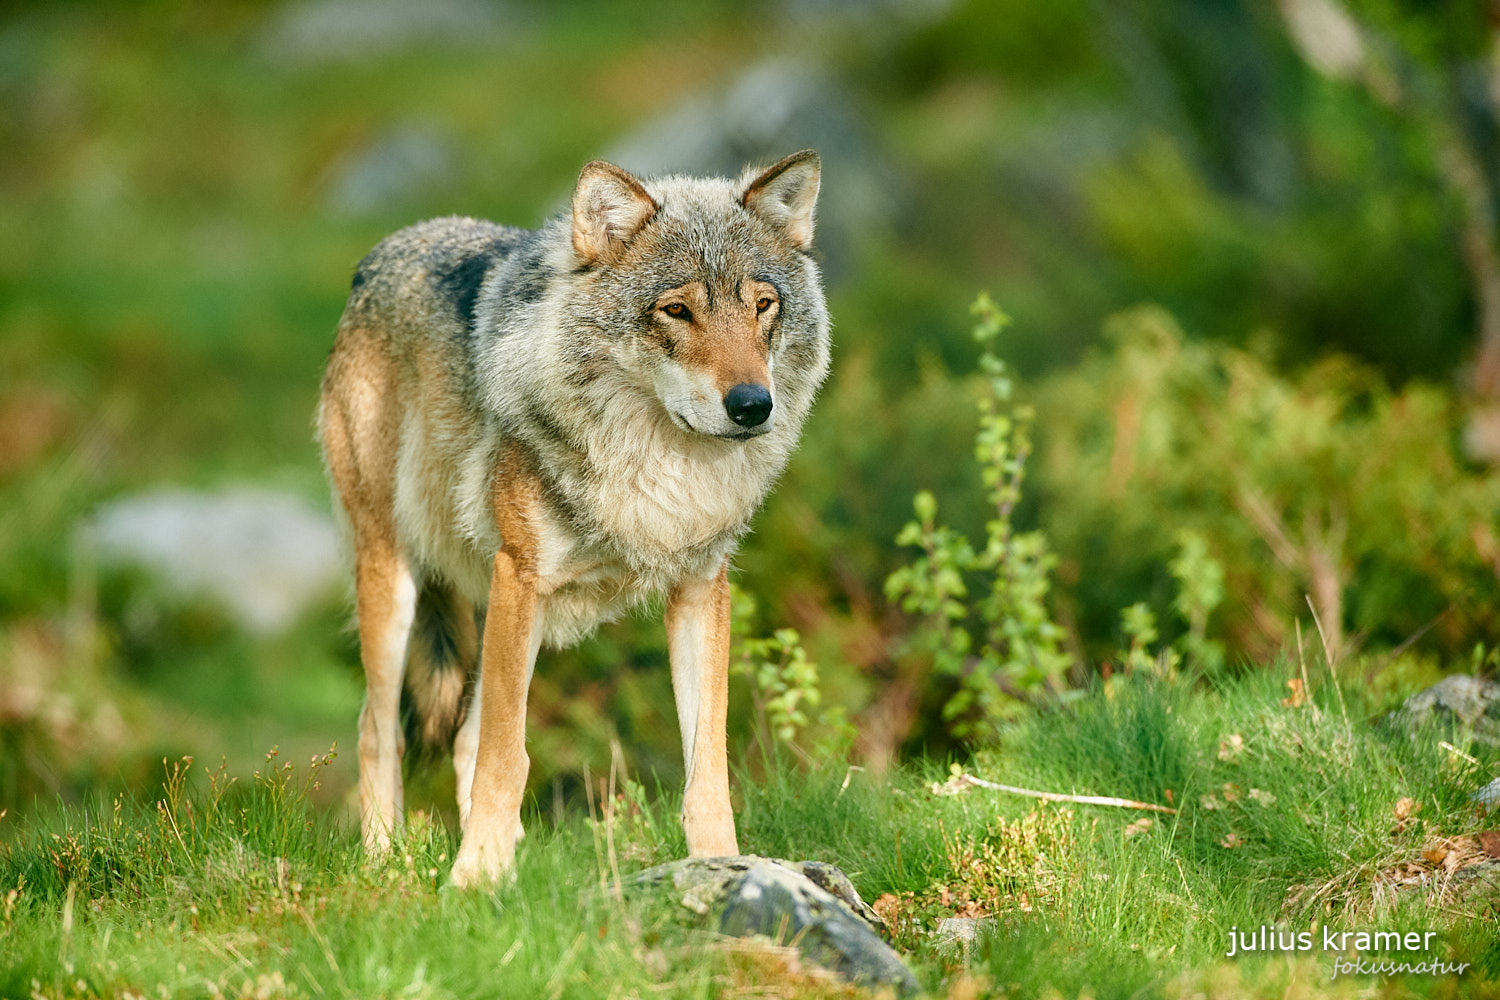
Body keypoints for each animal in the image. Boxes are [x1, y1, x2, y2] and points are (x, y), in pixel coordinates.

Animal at [319, 148, 834, 881]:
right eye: (677, 310)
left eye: (763, 306)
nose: (752, 406)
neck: (655, 470)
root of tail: (385, 249)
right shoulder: (523, 576)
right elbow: (508, 757)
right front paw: (474, 879)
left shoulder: (701, 587)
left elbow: (707, 765)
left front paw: (722, 863)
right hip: (398, 581)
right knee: (379, 727)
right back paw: (388, 862)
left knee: (465, 737)